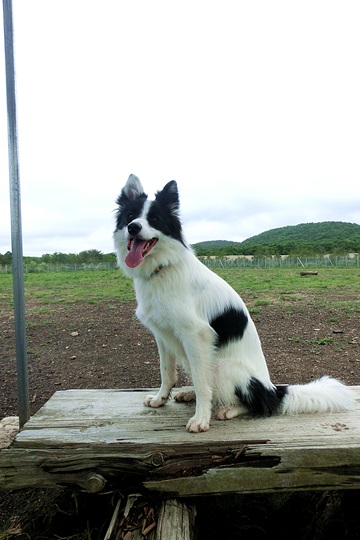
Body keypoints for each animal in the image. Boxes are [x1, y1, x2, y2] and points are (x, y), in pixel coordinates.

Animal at [114, 175, 354, 432]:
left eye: (155, 219)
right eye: (130, 216)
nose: (133, 227)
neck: (163, 268)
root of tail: (272, 390)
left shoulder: (196, 336)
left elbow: (203, 385)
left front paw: (201, 418)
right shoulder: (163, 335)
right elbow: (166, 373)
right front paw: (160, 399)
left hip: (222, 366)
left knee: (255, 404)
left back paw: (227, 409)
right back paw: (190, 394)